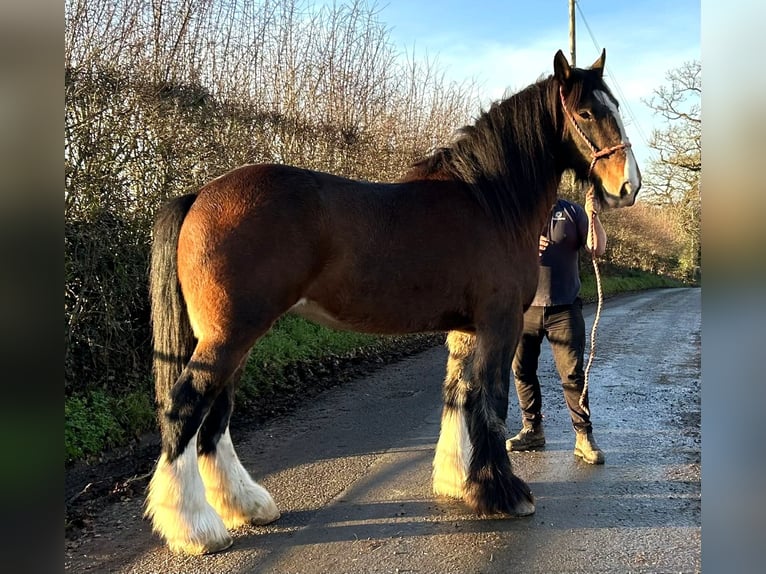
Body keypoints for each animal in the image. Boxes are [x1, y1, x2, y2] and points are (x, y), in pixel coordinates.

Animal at [146, 49, 640, 555]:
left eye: (615, 106)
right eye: (586, 113)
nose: (628, 186)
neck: (489, 202)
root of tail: (199, 194)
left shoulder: (465, 330)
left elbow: (458, 397)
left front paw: (458, 482)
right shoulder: (499, 326)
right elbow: (491, 403)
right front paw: (503, 493)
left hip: (233, 339)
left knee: (214, 421)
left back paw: (246, 506)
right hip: (229, 337)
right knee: (185, 409)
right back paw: (194, 529)